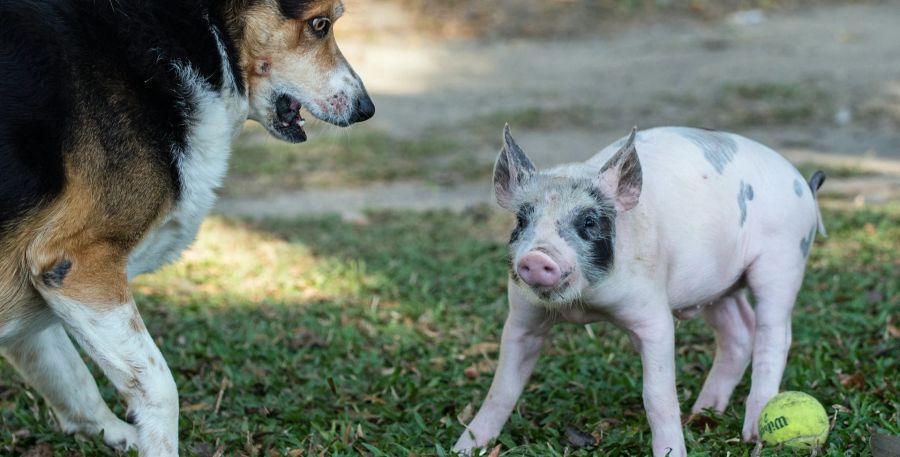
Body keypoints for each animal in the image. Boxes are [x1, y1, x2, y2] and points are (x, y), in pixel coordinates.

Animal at [0, 0, 372, 452]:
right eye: (320, 24)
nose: (366, 109)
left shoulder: (38, 290)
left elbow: (74, 383)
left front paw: (120, 436)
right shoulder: (77, 265)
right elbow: (159, 387)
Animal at [454, 124, 828, 456]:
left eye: (588, 221)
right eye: (521, 220)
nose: (536, 257)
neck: (583, 305)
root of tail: (803, 184)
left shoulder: (654, 315)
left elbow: (657, 396)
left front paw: (671, 453)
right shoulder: (523, 316)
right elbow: (501, 388)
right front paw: (465, 448)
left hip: (783, 259)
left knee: (774, 335)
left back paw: (753, 434)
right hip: (717, 287)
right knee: (739, 331)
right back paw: (702, 412)